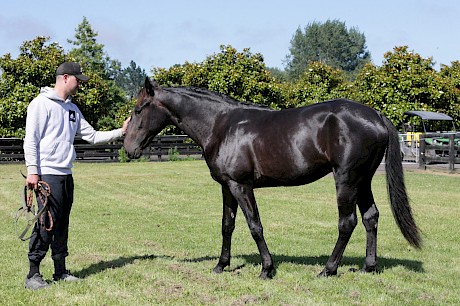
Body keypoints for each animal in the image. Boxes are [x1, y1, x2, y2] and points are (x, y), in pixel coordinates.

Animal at [124, 77, 422, 278]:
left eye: (139, 110)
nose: (128, 149)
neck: (221, 125)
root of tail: (377, 116)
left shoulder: (241, 185)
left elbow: (255, 225)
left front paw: (267, 269)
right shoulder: (226, 187)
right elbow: (227, 226)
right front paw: (221, 265)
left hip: (347, 179)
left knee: (347, 223)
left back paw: (328, 269)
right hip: (363, 181)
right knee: (371, 217)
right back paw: (368, 267)